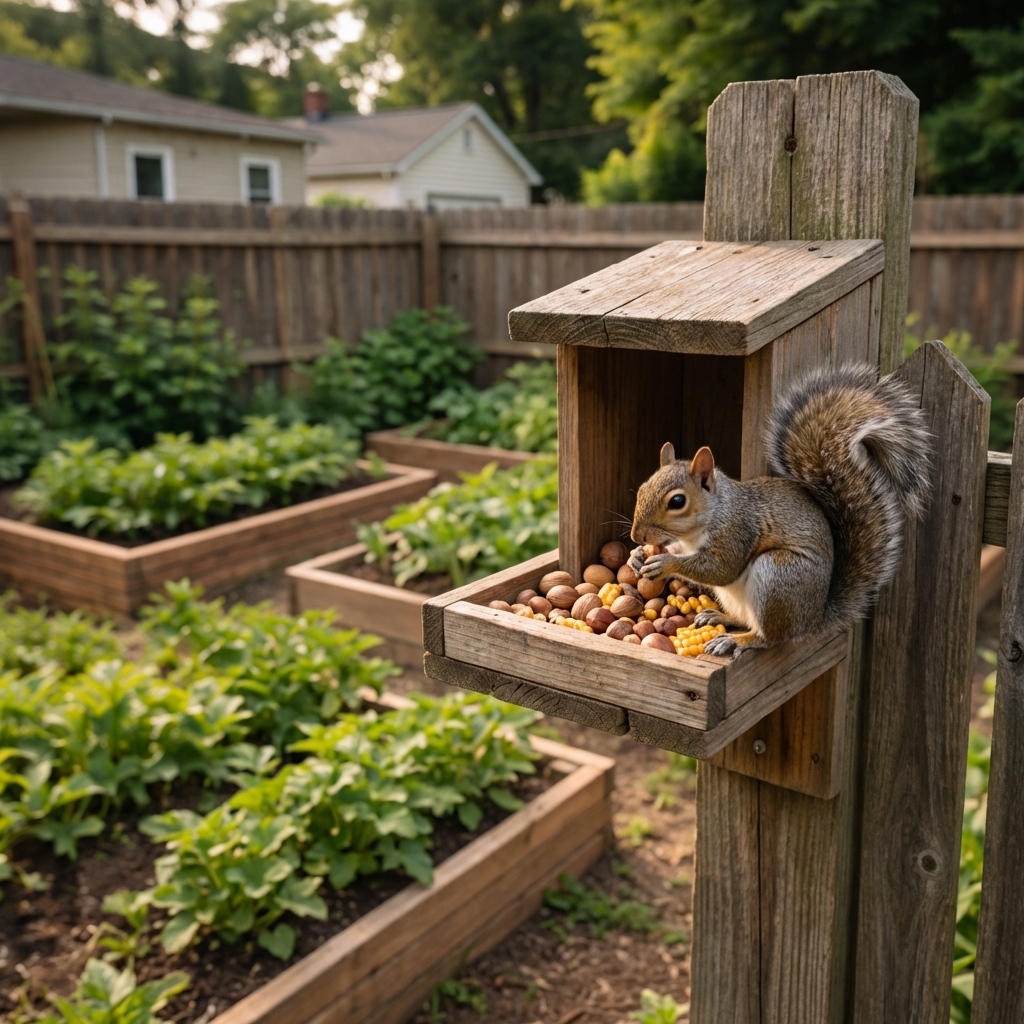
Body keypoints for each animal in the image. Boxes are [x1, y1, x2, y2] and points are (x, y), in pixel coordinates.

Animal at [628, 364, 932, 657]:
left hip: (778, 576)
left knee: (769, 637)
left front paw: (665, 563)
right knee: (747, 620)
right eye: (642, 488)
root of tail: (812, 621)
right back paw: (719, 617)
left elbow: (720, 569)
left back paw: (736, 640)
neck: (708, 518)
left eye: (677, 501)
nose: (636, 536)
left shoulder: (737, 532)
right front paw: (636, 557)